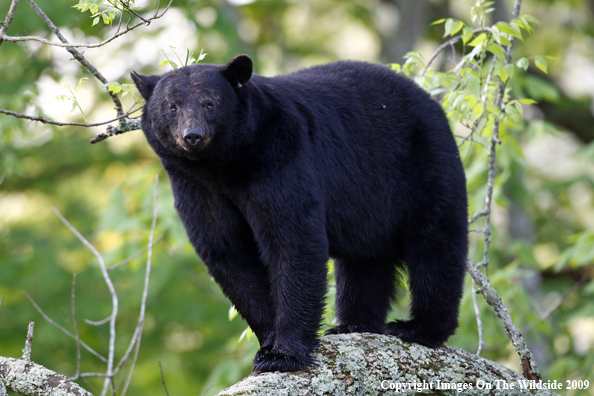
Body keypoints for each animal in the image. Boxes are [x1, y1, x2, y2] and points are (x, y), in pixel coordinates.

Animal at [131, 54, 468, 372]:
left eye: (210, 103)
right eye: (172, 107)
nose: (193, 136)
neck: (225, 167)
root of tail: (428, 99)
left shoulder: (280, 157)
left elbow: (292, 240)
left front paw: (283, 354)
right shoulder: (194, 186)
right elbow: (227, 251)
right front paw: (269, 341)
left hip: (426, 165)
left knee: (436, 243)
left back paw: (419, 328)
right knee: (365, 261)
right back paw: (354, 324)